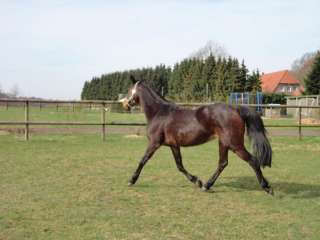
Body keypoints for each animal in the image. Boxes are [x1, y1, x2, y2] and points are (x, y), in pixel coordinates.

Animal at [120, 78, 272, 194]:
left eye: (129, 90)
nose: (125, 104)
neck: (159, 113)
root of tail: (236, 108)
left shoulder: (154, 143)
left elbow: (143, 160)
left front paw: (131, 180)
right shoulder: (174, 145)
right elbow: (179, 165)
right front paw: (197, 181)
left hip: (235, 144)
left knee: (253, 160)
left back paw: (267, 187)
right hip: (224, 143)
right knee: (223, 163)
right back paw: (206, 185)